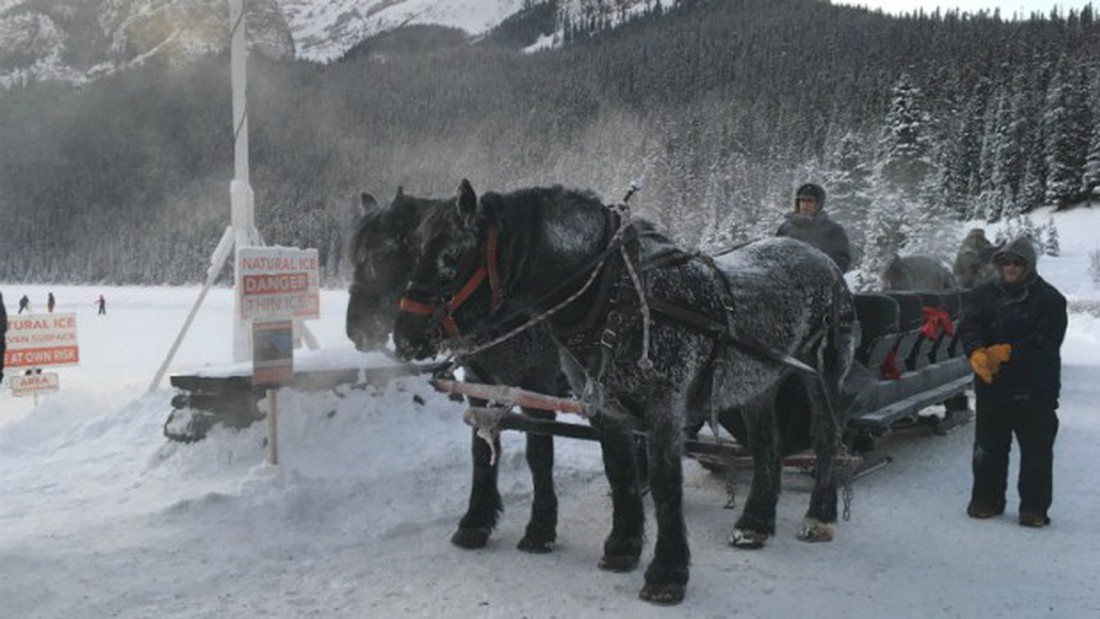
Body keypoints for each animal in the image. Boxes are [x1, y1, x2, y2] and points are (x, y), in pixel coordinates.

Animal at [391, 180, 853, 606]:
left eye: (453, 255)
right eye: (414, 248)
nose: (405, 337)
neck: (613, 295)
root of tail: (821, 259)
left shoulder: (654, 407)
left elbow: (658, 483)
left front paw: (665, 571)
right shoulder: (578, 403)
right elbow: (614, 472)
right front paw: (621, 546)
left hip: (822, 374)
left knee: (827, 439)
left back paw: (820, 515)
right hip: (757, 382)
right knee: (765, 447)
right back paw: (755, 523)